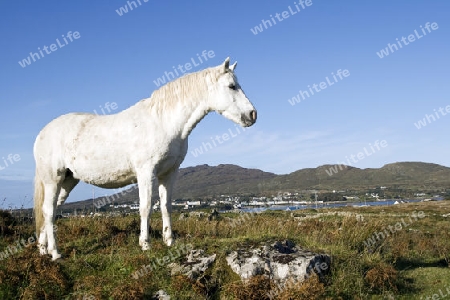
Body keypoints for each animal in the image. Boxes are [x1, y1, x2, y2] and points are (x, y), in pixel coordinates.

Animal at [34, 57, 256, 258]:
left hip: (68, 180)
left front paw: (169, 241)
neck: (163, 121)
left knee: (49, 211)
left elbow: (165, 206)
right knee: (49, 211)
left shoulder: (169, 173)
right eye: (232, 86)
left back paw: (43, 249)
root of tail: (42, 134)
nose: (252, 114)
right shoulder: (146, 172)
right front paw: (145, 244)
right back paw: (55, 253)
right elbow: (146, 207)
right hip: (53, 179)